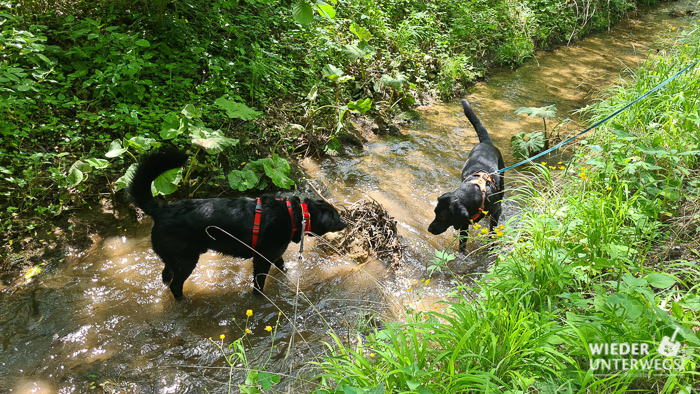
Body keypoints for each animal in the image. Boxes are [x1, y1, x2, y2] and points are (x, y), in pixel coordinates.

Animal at [128, 149, 348, 300]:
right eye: (337, 216)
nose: (346, 223)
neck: (295, 215)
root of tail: (161, 210)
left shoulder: (274, 254)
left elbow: (282, 265)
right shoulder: (262, 259)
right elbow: (259, 285)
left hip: (173, 257)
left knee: (166, 275)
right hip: (186, 260)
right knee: (175, 285)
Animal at [426, 98, 504, 252]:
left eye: (443, 218)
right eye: (434, 212)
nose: (429, 229)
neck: (477, 193)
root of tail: (486, 142)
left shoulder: (495, 214)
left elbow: (492, 233)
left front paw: (491, 248)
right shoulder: (464, 222)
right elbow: (462, 243)